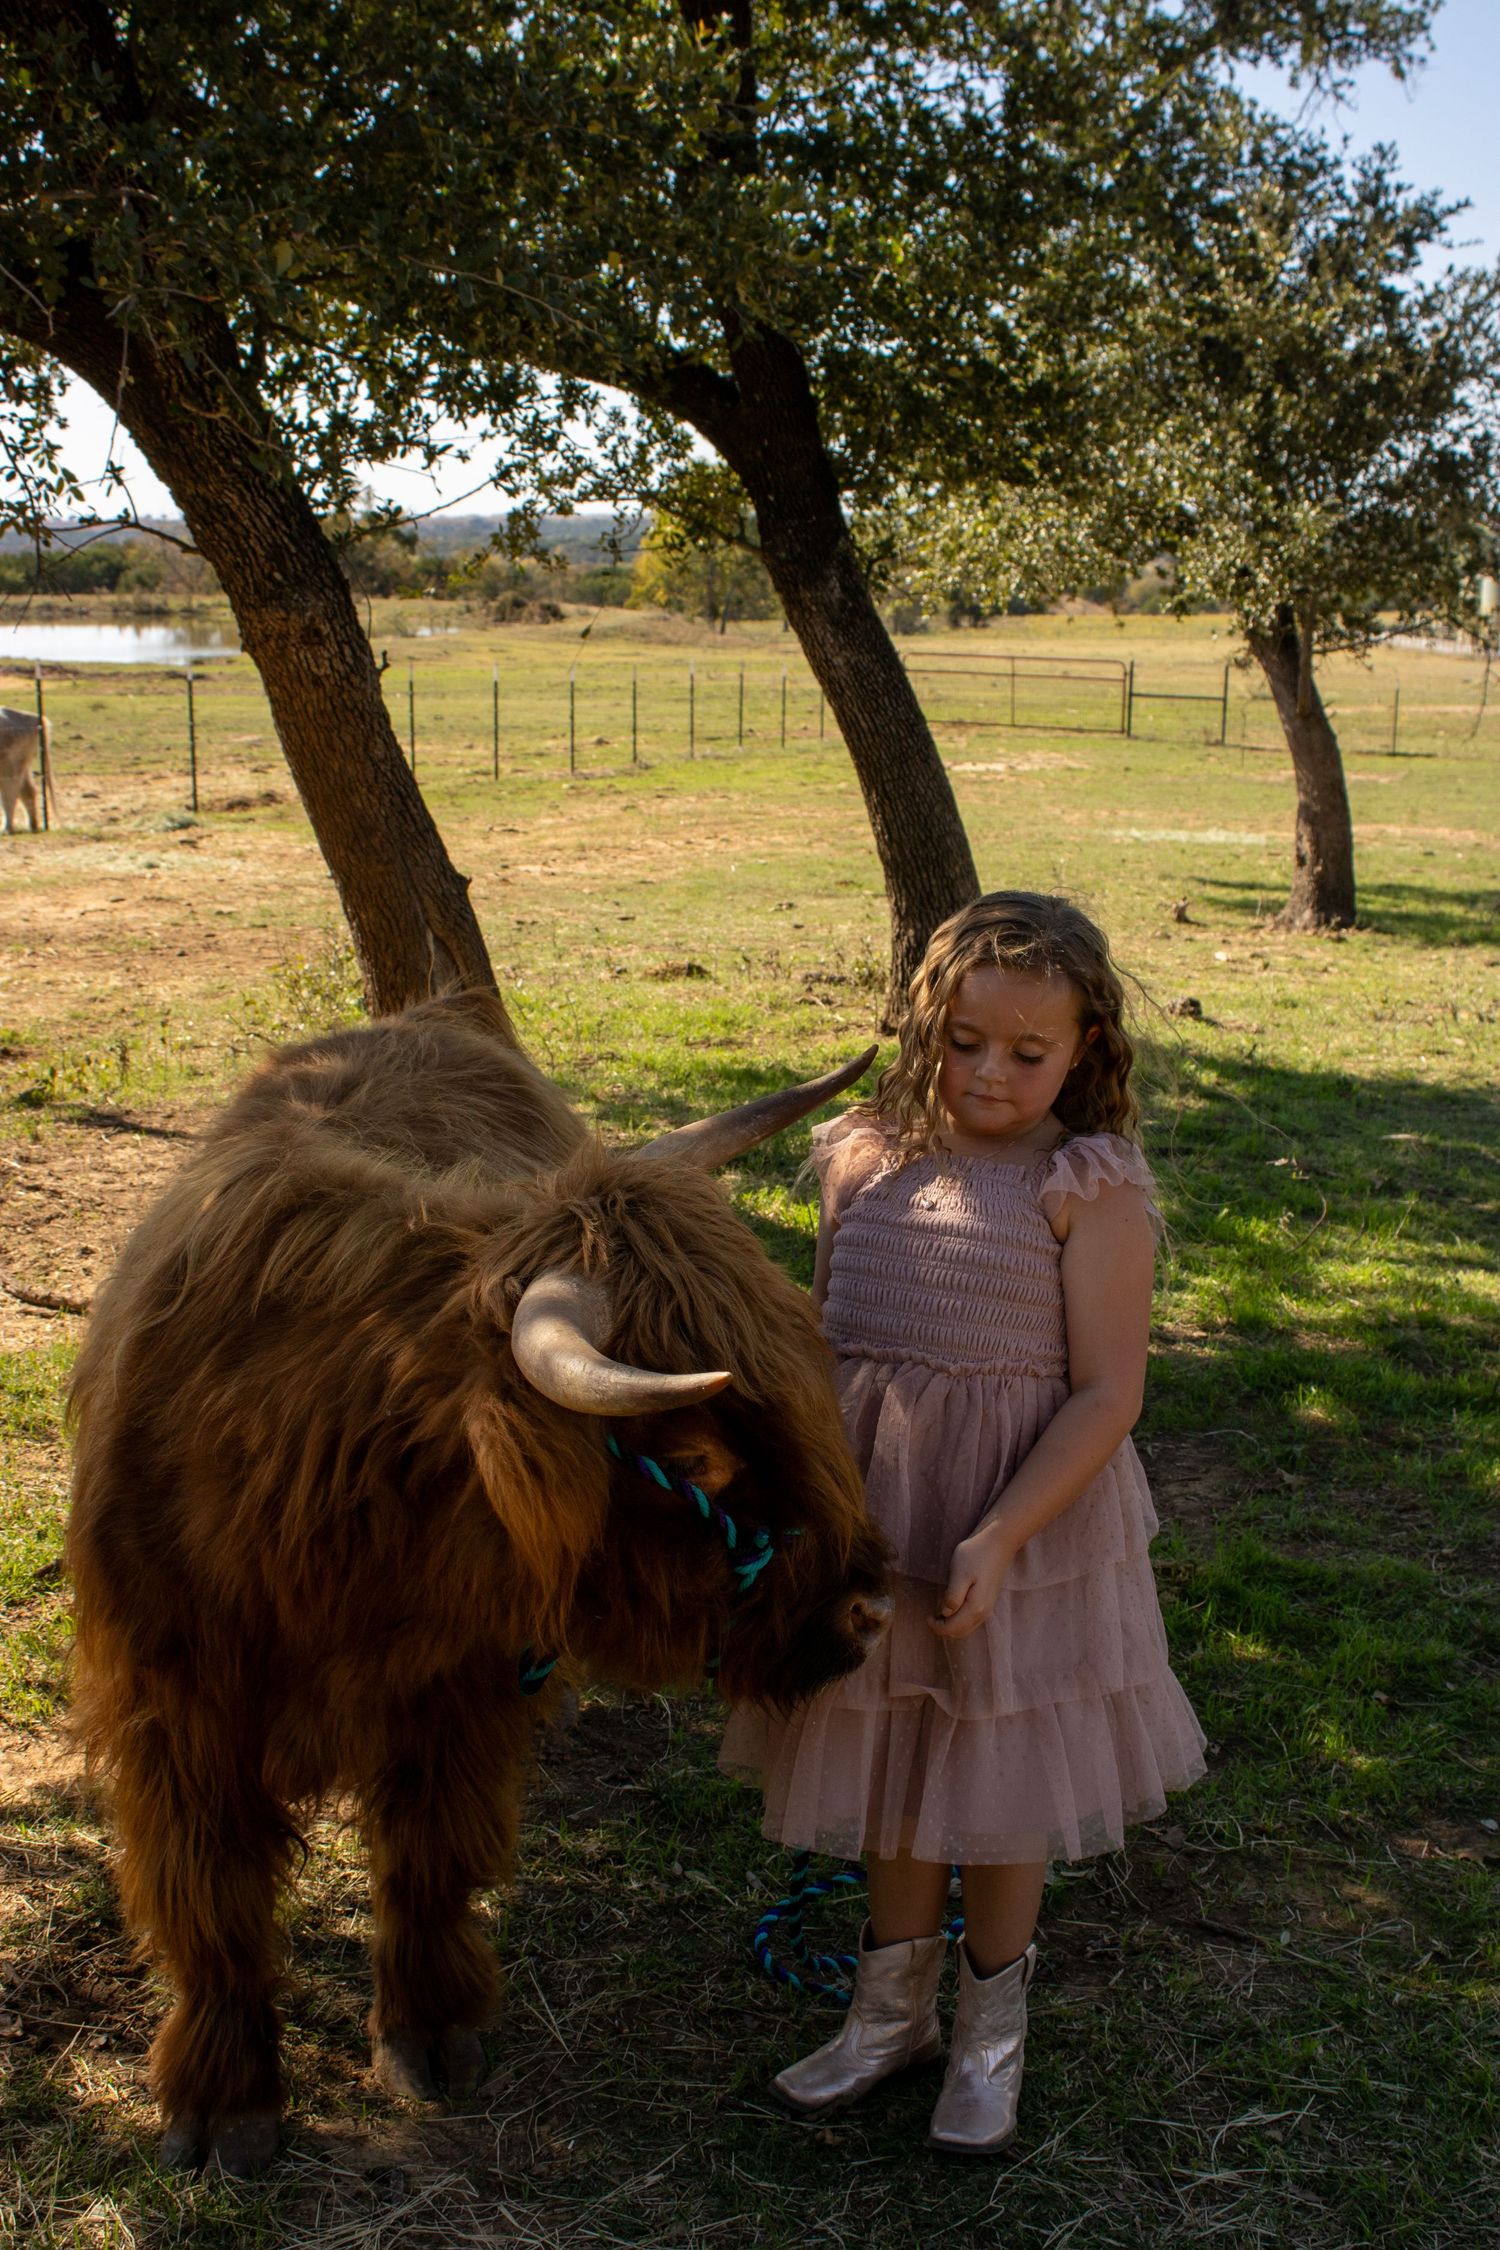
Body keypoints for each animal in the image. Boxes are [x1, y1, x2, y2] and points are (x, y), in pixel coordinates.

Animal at [66, 992, 892, 2176]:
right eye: (694, 1458)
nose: (868, 1610)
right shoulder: (171, 1700)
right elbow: (208, 1894)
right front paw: (224, 2101)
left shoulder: (456, 1688)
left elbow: (430, 1854)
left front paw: (431, 2032)